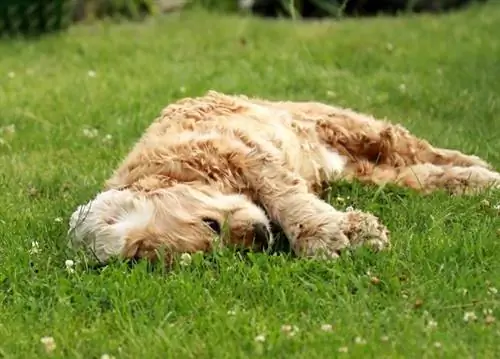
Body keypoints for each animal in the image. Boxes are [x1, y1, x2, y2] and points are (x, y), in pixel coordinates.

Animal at [69, 91, 500, 266]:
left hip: (356, 127)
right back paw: (482, 181)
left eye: (211, 224)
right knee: (422, 174)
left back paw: (483, 167)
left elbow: (286, 197)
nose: (260, 238)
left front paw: (331, 235)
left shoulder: (248, 154)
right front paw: (354, 230)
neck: (178, 169)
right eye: (220, 250)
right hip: (368, 173)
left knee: (421, 149)